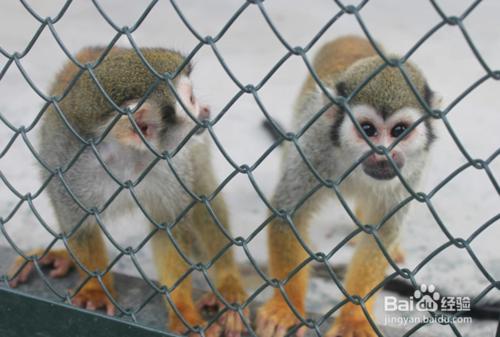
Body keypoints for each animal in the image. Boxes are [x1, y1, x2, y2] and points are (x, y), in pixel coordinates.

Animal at [8, 46, 247, 334]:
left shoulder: (171, 162)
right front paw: (95, 289)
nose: (206, 110)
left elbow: (168, 228)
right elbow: (79, 226)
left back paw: (228, 282)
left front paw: (181, 309)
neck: (124, 154)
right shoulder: (66, 163)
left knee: (202, 192)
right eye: (190, 99)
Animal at [256, 36, 440, 336]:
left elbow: (379, 234)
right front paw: (285, 307)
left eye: (399, 131)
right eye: (368, 129)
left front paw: (354, 318)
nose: (382, 155)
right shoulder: (315, 142)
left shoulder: (413, 168)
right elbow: (289, 213)